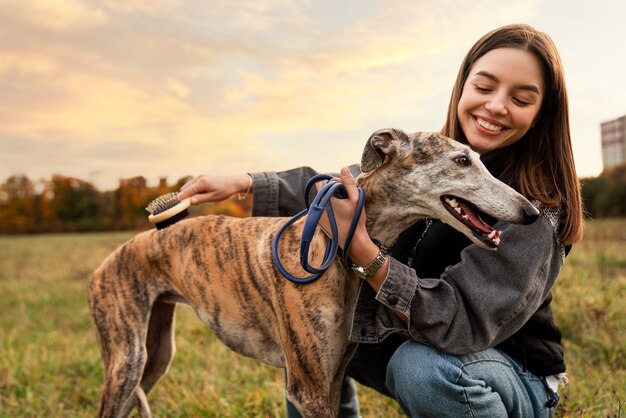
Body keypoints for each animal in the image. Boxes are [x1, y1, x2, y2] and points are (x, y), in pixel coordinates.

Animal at [86, 128, 536, 418]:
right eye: (461, 160)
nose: (532, 213)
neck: (332, 242)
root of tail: (106, 262)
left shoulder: (332, 377)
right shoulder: (308, 387)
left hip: (156, 355)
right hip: (126, 361)